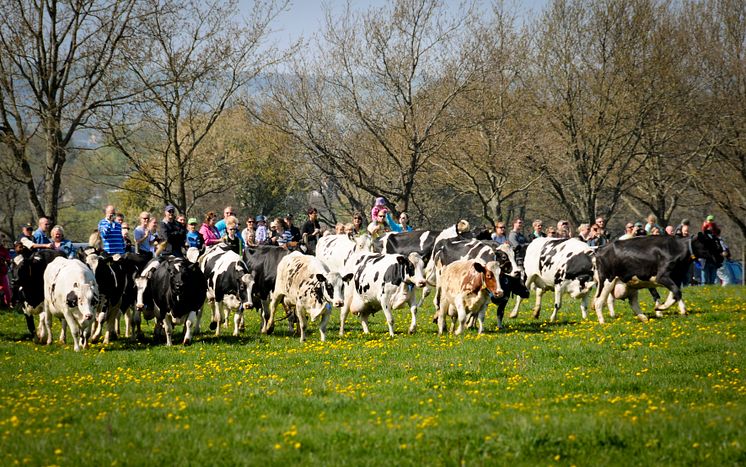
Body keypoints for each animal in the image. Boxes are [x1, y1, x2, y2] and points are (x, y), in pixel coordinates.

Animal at [592, 233, 720, 324]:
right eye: (710, 243)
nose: (721, 257)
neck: (678, 249)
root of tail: (601, 249)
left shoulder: (677, 278)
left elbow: (674, 294)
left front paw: (661, 307)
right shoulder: (662, 276)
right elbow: (677, 292)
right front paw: (683, 310)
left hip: (630, 284)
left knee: (632, 302)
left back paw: (643, 318)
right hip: (607, 281)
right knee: (599, 301)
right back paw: (602, 322)